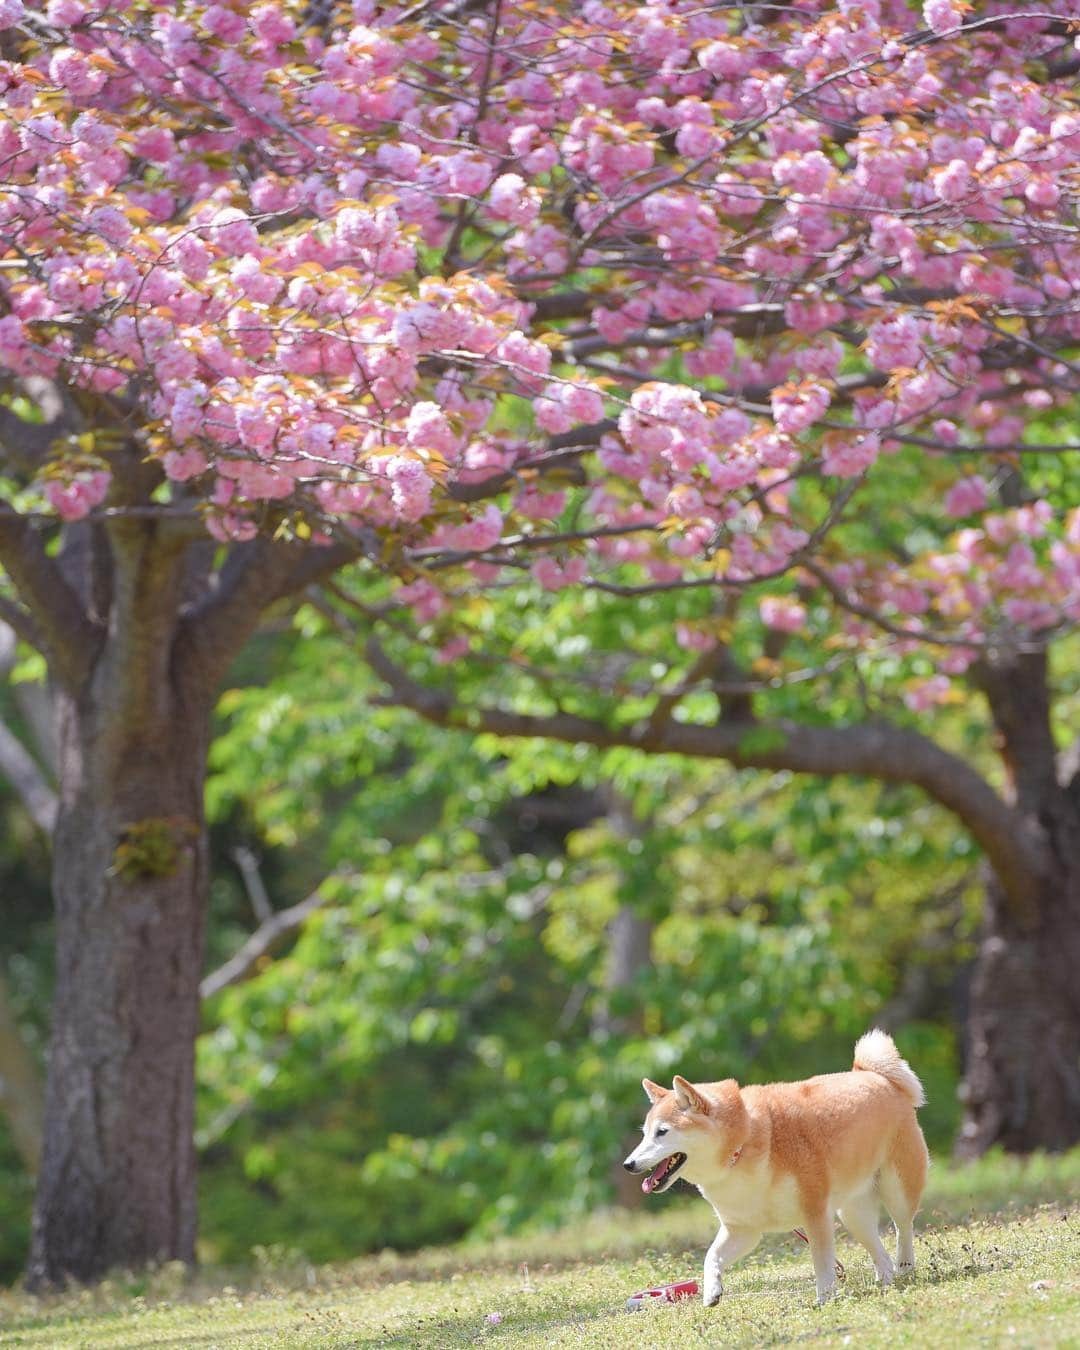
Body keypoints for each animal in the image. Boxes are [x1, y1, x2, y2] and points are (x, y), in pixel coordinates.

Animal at [623, 1031, 928, 1306]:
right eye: (645, 1134)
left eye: (662, 1132)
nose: (628, 1164)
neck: (742, 1147)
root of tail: (875, 1076)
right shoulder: (741, 1229)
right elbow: (711, 1257)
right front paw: (712, 1291)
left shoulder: (815, 1214)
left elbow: (822, 1264)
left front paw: (824, 1300)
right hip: (852, 1213)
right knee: (880, 1253)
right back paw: (885, 1282)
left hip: (896, 1190)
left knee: (903, 1228)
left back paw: (905, 1267)